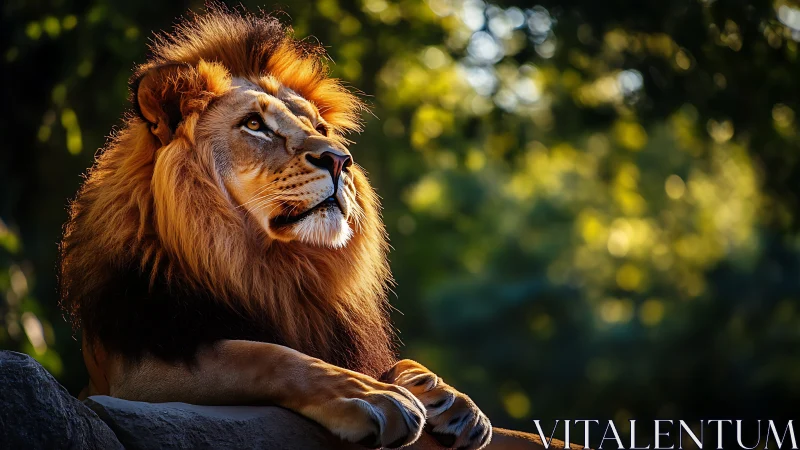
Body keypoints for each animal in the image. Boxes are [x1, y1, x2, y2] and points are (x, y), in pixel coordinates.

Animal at [59, 6, 556, 450]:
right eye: (254, 125)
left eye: (319, 126)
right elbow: (261, 354)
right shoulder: (135, 369)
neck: (274, 268)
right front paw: (371, 395)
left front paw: (447, 396)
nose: (340, 160)